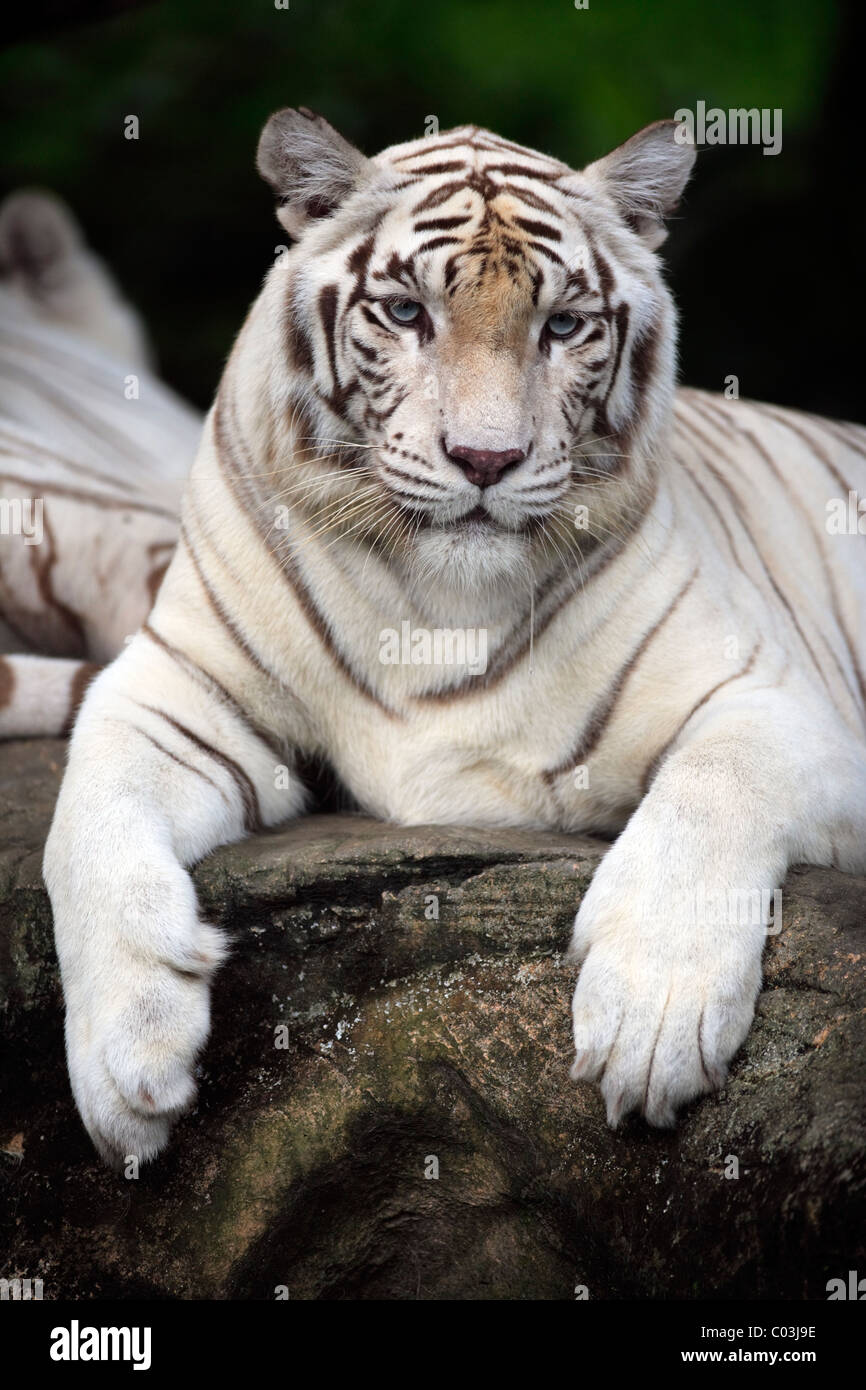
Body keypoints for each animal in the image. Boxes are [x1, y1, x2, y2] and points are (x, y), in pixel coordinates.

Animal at [28, 113, 866, 1167]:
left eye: (563, 326)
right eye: (404, 313)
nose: (485, 458)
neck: (430, 608)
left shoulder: (773, 700)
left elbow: (712, 790)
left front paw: (652, 1017)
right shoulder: (177, 688)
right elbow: (82, 822)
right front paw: (123, 1060)